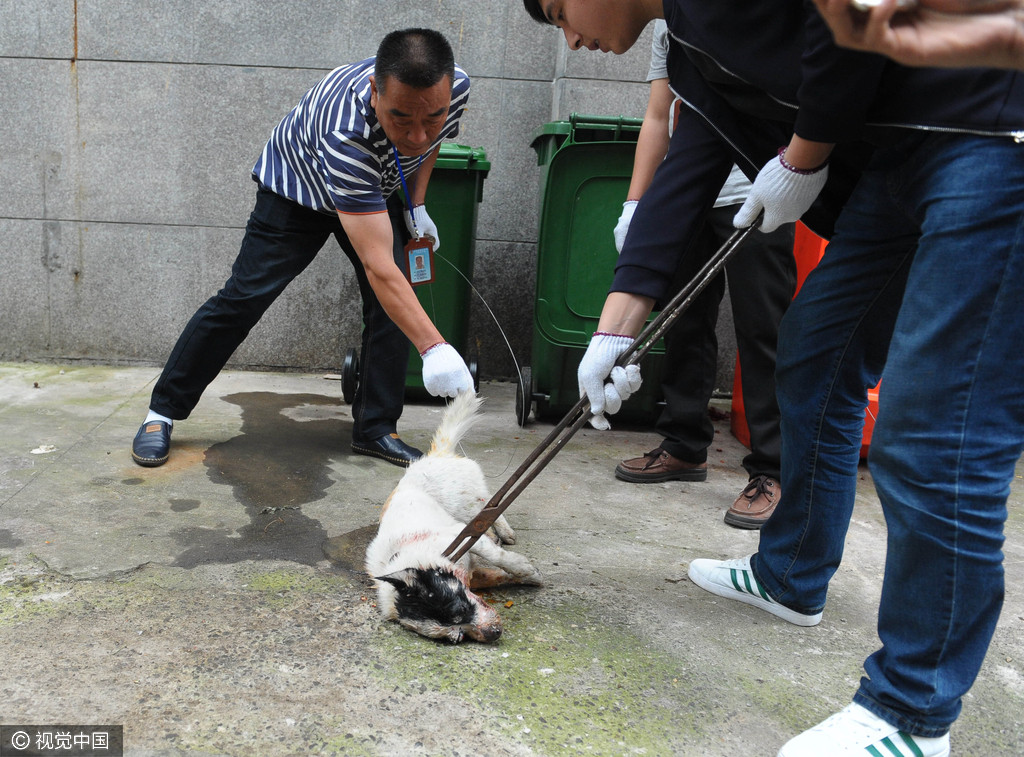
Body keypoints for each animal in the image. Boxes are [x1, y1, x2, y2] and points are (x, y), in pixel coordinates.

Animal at [366, 391, 544, 647]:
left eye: (461, 609)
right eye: (457, 636)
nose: (494, 633)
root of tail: (438, 453)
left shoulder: (461, 534)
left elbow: (498, 557)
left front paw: (525, 568)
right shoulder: (472, 574)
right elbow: (498, 575)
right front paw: (529, 577)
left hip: (468, 503)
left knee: (492, 505)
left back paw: (505, 532)